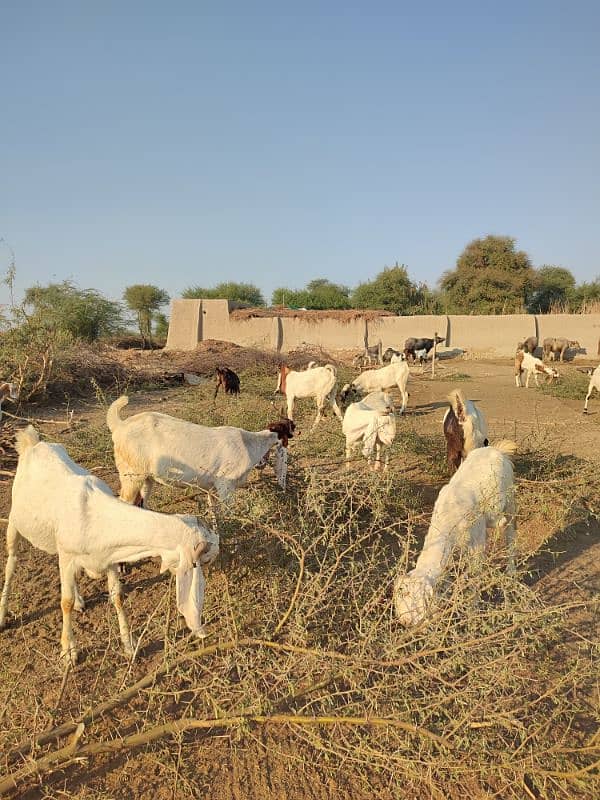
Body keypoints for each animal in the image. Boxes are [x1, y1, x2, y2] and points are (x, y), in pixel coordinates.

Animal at [0, 424, 220, 664]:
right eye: (203, 557)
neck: (97, 516)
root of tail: (32, 442)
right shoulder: (68, 556)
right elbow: (65, 602)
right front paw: (68, 651)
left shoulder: (110, 559)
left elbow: (117, 597)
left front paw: (129, 645)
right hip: (15, 523)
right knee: (11, 563)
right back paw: (3, 615)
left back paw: (80, 600)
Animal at [108, 398, 296, 510]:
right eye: (289, 428)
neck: (249, 444)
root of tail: (120, 425)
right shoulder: (225, 483)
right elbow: (229, 511)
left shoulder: (210, 487)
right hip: (132, 474)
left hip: (147, 478)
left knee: (141, 503)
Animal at [394, 440, 516, 628]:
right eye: (403, 594)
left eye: (420, 599)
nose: (406, 621)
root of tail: (497, 449)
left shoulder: (476, 544)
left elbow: (474, 574)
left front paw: (472, 612)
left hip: (510, 501)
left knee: (510, 533)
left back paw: (511, 569)